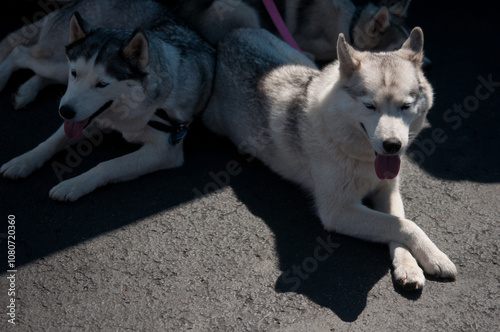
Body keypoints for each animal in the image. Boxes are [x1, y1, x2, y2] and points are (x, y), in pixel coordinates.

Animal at [0, 11, 215, 201]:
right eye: (75, 73)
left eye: (102, 84)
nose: (65, 112)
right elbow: (51, 141)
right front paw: (23, 161)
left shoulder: (165, 150)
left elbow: (108, 165)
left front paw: (73, 185)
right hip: (58, 64)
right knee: (20, 52)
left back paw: (25, 91)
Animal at [203, 27, 458, 290]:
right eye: (370, 106)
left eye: (406, 106)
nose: (392, 146)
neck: (361, 158)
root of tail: (232, 35)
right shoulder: (337, 211)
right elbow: (404, 225)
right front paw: (434, 257)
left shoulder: (387, 190)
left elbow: (398, 222)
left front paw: (409, 266)